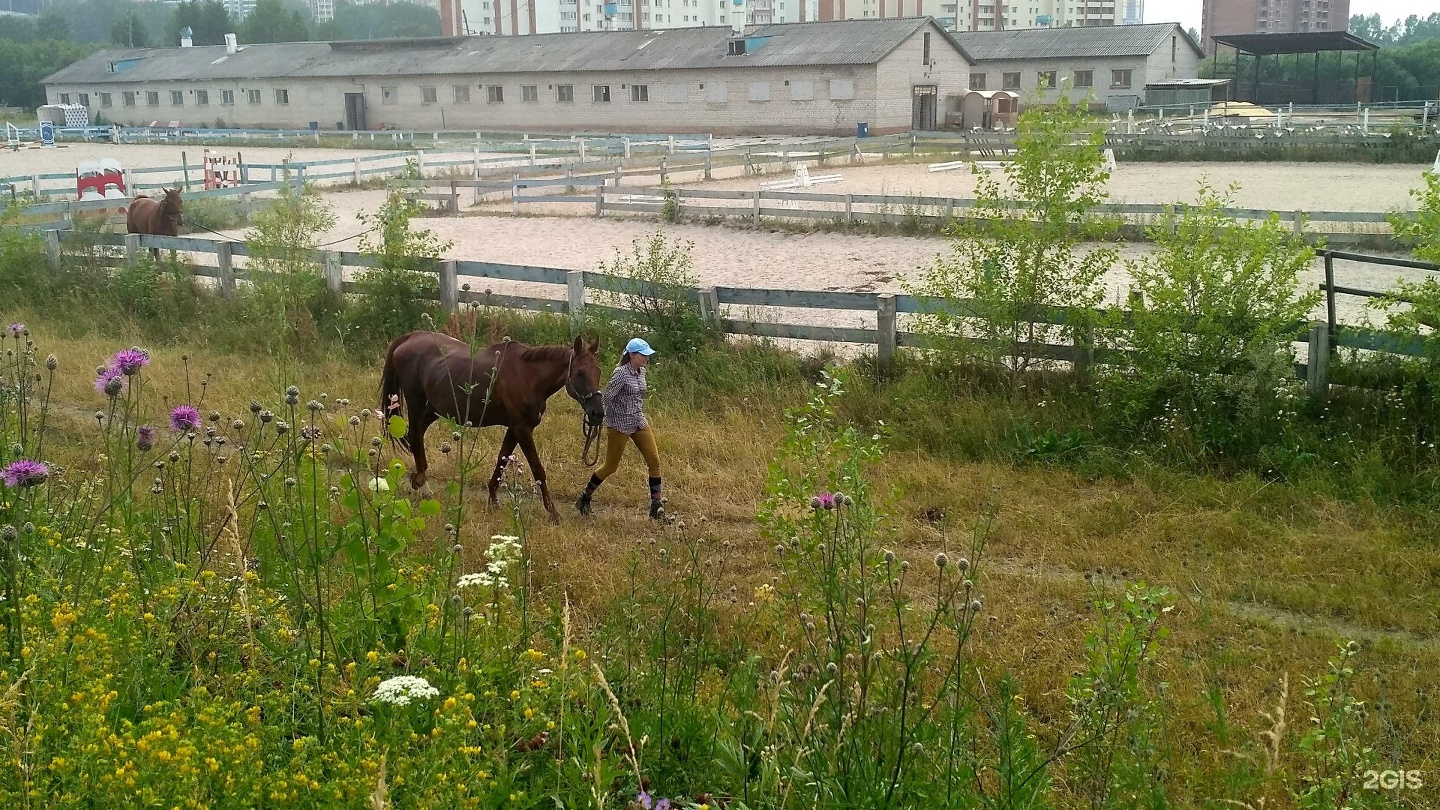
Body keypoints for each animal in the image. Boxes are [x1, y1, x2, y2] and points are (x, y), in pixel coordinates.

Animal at [380, 331, 604, 518]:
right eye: (580, 372)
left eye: (599, 372)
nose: (598, 413)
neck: (528, 376)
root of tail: (410, 337)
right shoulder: (522, 429)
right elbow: (537, 469)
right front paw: (553, 512)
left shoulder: (515, 428)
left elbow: (501, 460)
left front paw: (494, 500)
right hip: (416, 403)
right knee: (415, 437)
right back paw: (424, 487)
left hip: (434, 409)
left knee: (416, 436)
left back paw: (417, 482)